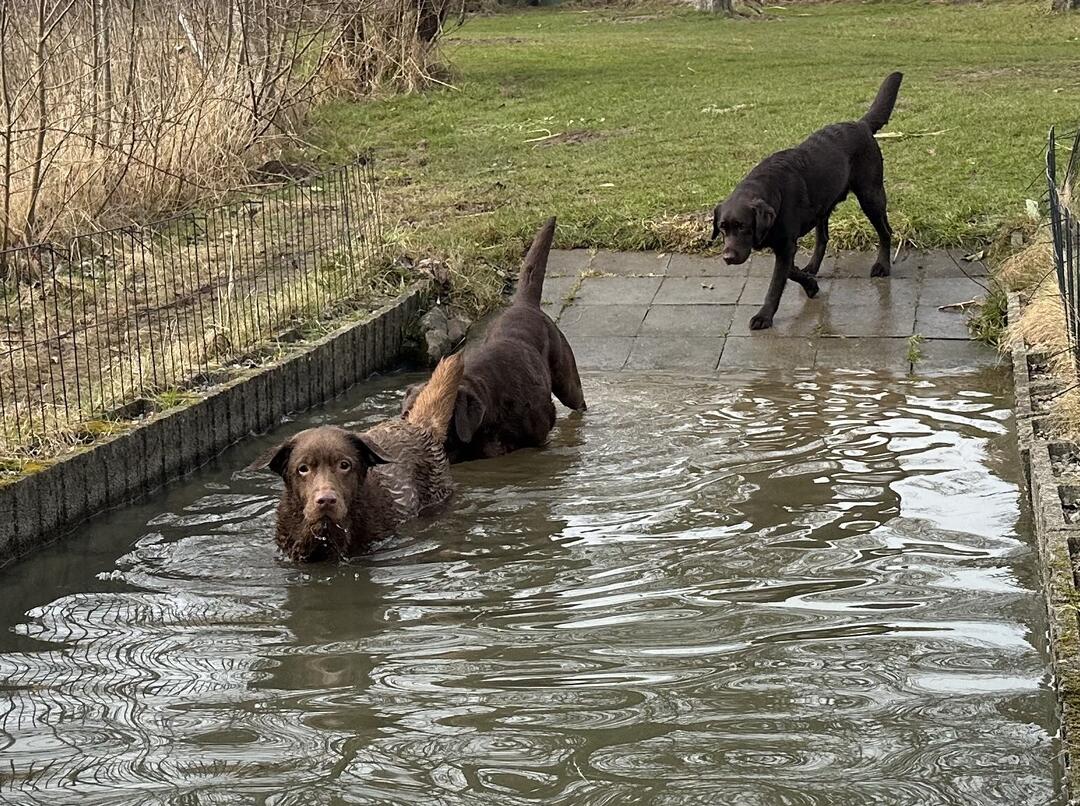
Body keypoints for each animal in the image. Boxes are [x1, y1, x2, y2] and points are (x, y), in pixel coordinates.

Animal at [711, 72, 904, 330]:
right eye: (722, 228)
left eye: (743, 226)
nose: (728, 258)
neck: (773, 192)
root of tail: (861, 124)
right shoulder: (784, 245)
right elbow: (790, 271)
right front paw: (810, 284)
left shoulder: (785, 246)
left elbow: (777, 283)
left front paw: (764, 316)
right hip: (824, 206)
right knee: (823, 238)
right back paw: (812, 268)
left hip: (870, 196)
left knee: (885, 231)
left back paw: (882, 265)